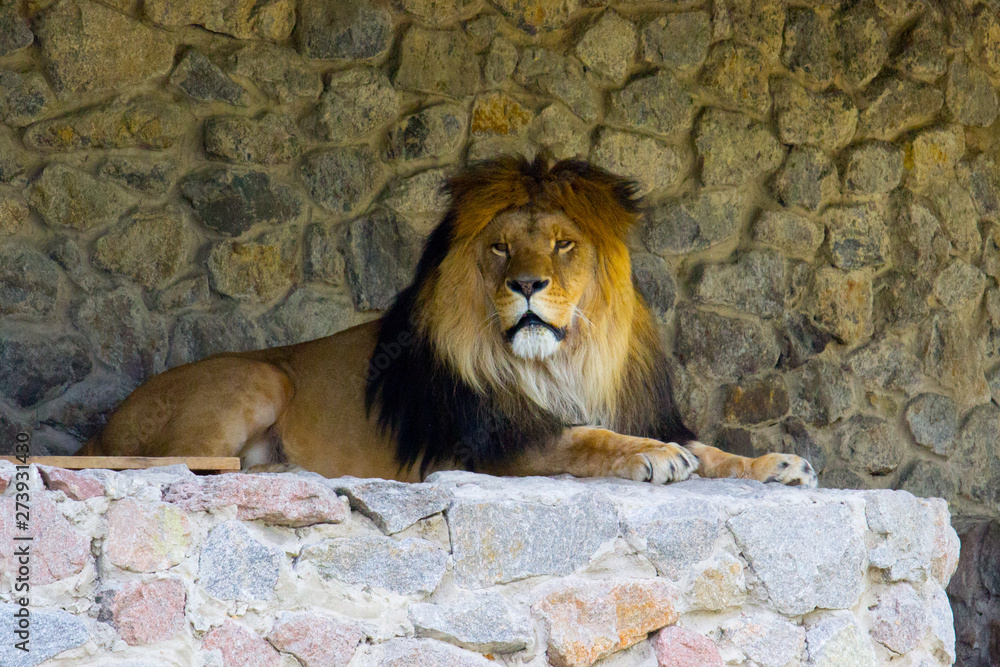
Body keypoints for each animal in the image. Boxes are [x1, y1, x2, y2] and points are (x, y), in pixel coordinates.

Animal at [80, 156, 816, 488]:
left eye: (562, 244)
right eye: (499, 248)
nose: (527, 284)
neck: (563, 362)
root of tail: (100, 427)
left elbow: (714, 450)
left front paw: (776, 461)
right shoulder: (503, 446)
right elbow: (588, 437)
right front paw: (654, 455)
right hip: (260, 380)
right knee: (181, 464)